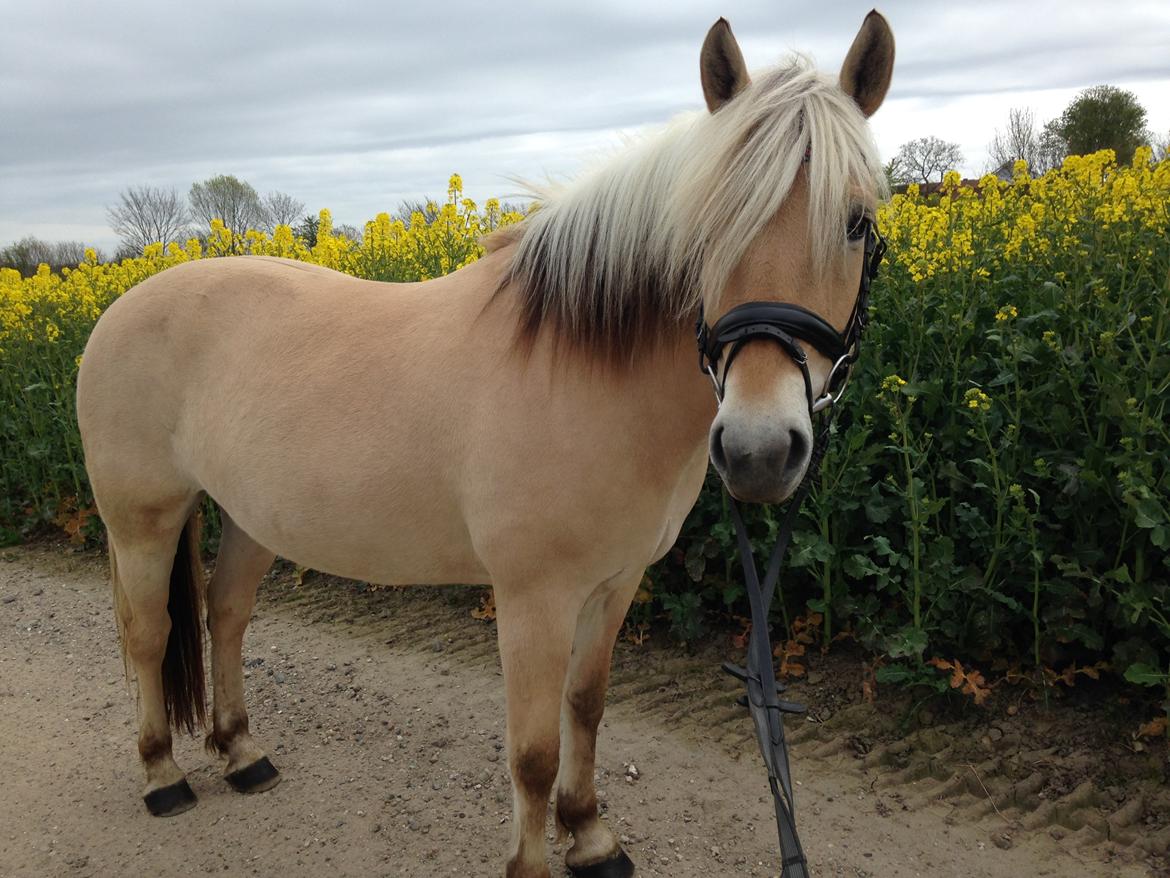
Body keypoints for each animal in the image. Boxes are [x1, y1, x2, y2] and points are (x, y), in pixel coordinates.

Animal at [75, 13, 893, 878]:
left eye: (857, 221)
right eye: (705, 228)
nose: (759, 450)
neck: (584, 368)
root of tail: (120, 307)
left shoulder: (614, 584)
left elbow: (586, 708)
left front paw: (591, 836)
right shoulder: (534, 598)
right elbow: (531, 752)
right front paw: (537, 859)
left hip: (249, 517)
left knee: (225, 614)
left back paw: (241, 753)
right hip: (142, 521)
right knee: (147, 633)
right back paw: (162, 774)